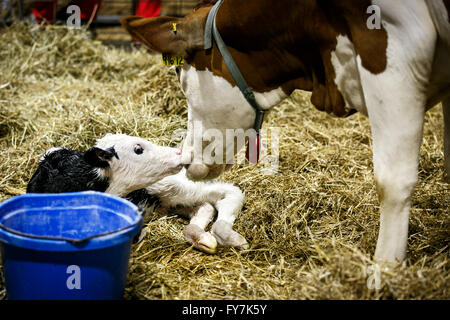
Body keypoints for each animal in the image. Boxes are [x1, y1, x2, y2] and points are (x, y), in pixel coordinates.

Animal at [28, 134, 248, 254]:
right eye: (138, 149)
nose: (179, 153)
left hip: (168, 185)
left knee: (229, 192)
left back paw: (229, 236)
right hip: (166, 199)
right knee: (204, 207)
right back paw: (200, 237)